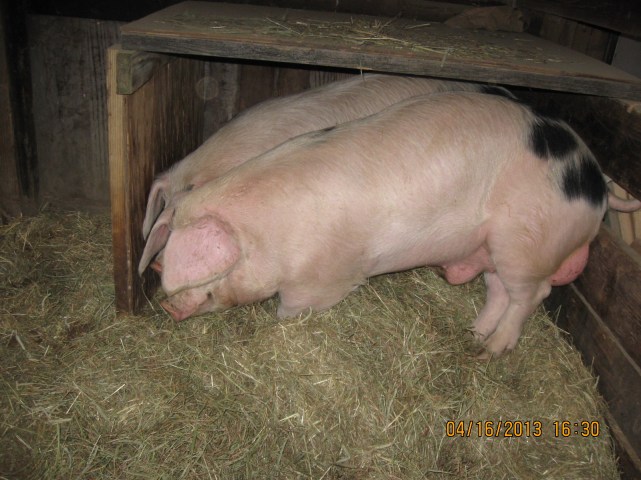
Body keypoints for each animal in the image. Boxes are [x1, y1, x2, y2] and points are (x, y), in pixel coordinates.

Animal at [141, 91, 637, 356]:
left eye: (199, 272)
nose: (167, 307)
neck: (269, 235)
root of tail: (593, 175)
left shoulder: (324, 280)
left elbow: (291, 311)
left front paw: (281, 328)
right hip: (491, 245)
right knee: (499, 290)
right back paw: (474, 336)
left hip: (527, 243)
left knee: (532, 294)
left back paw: (493, 351)